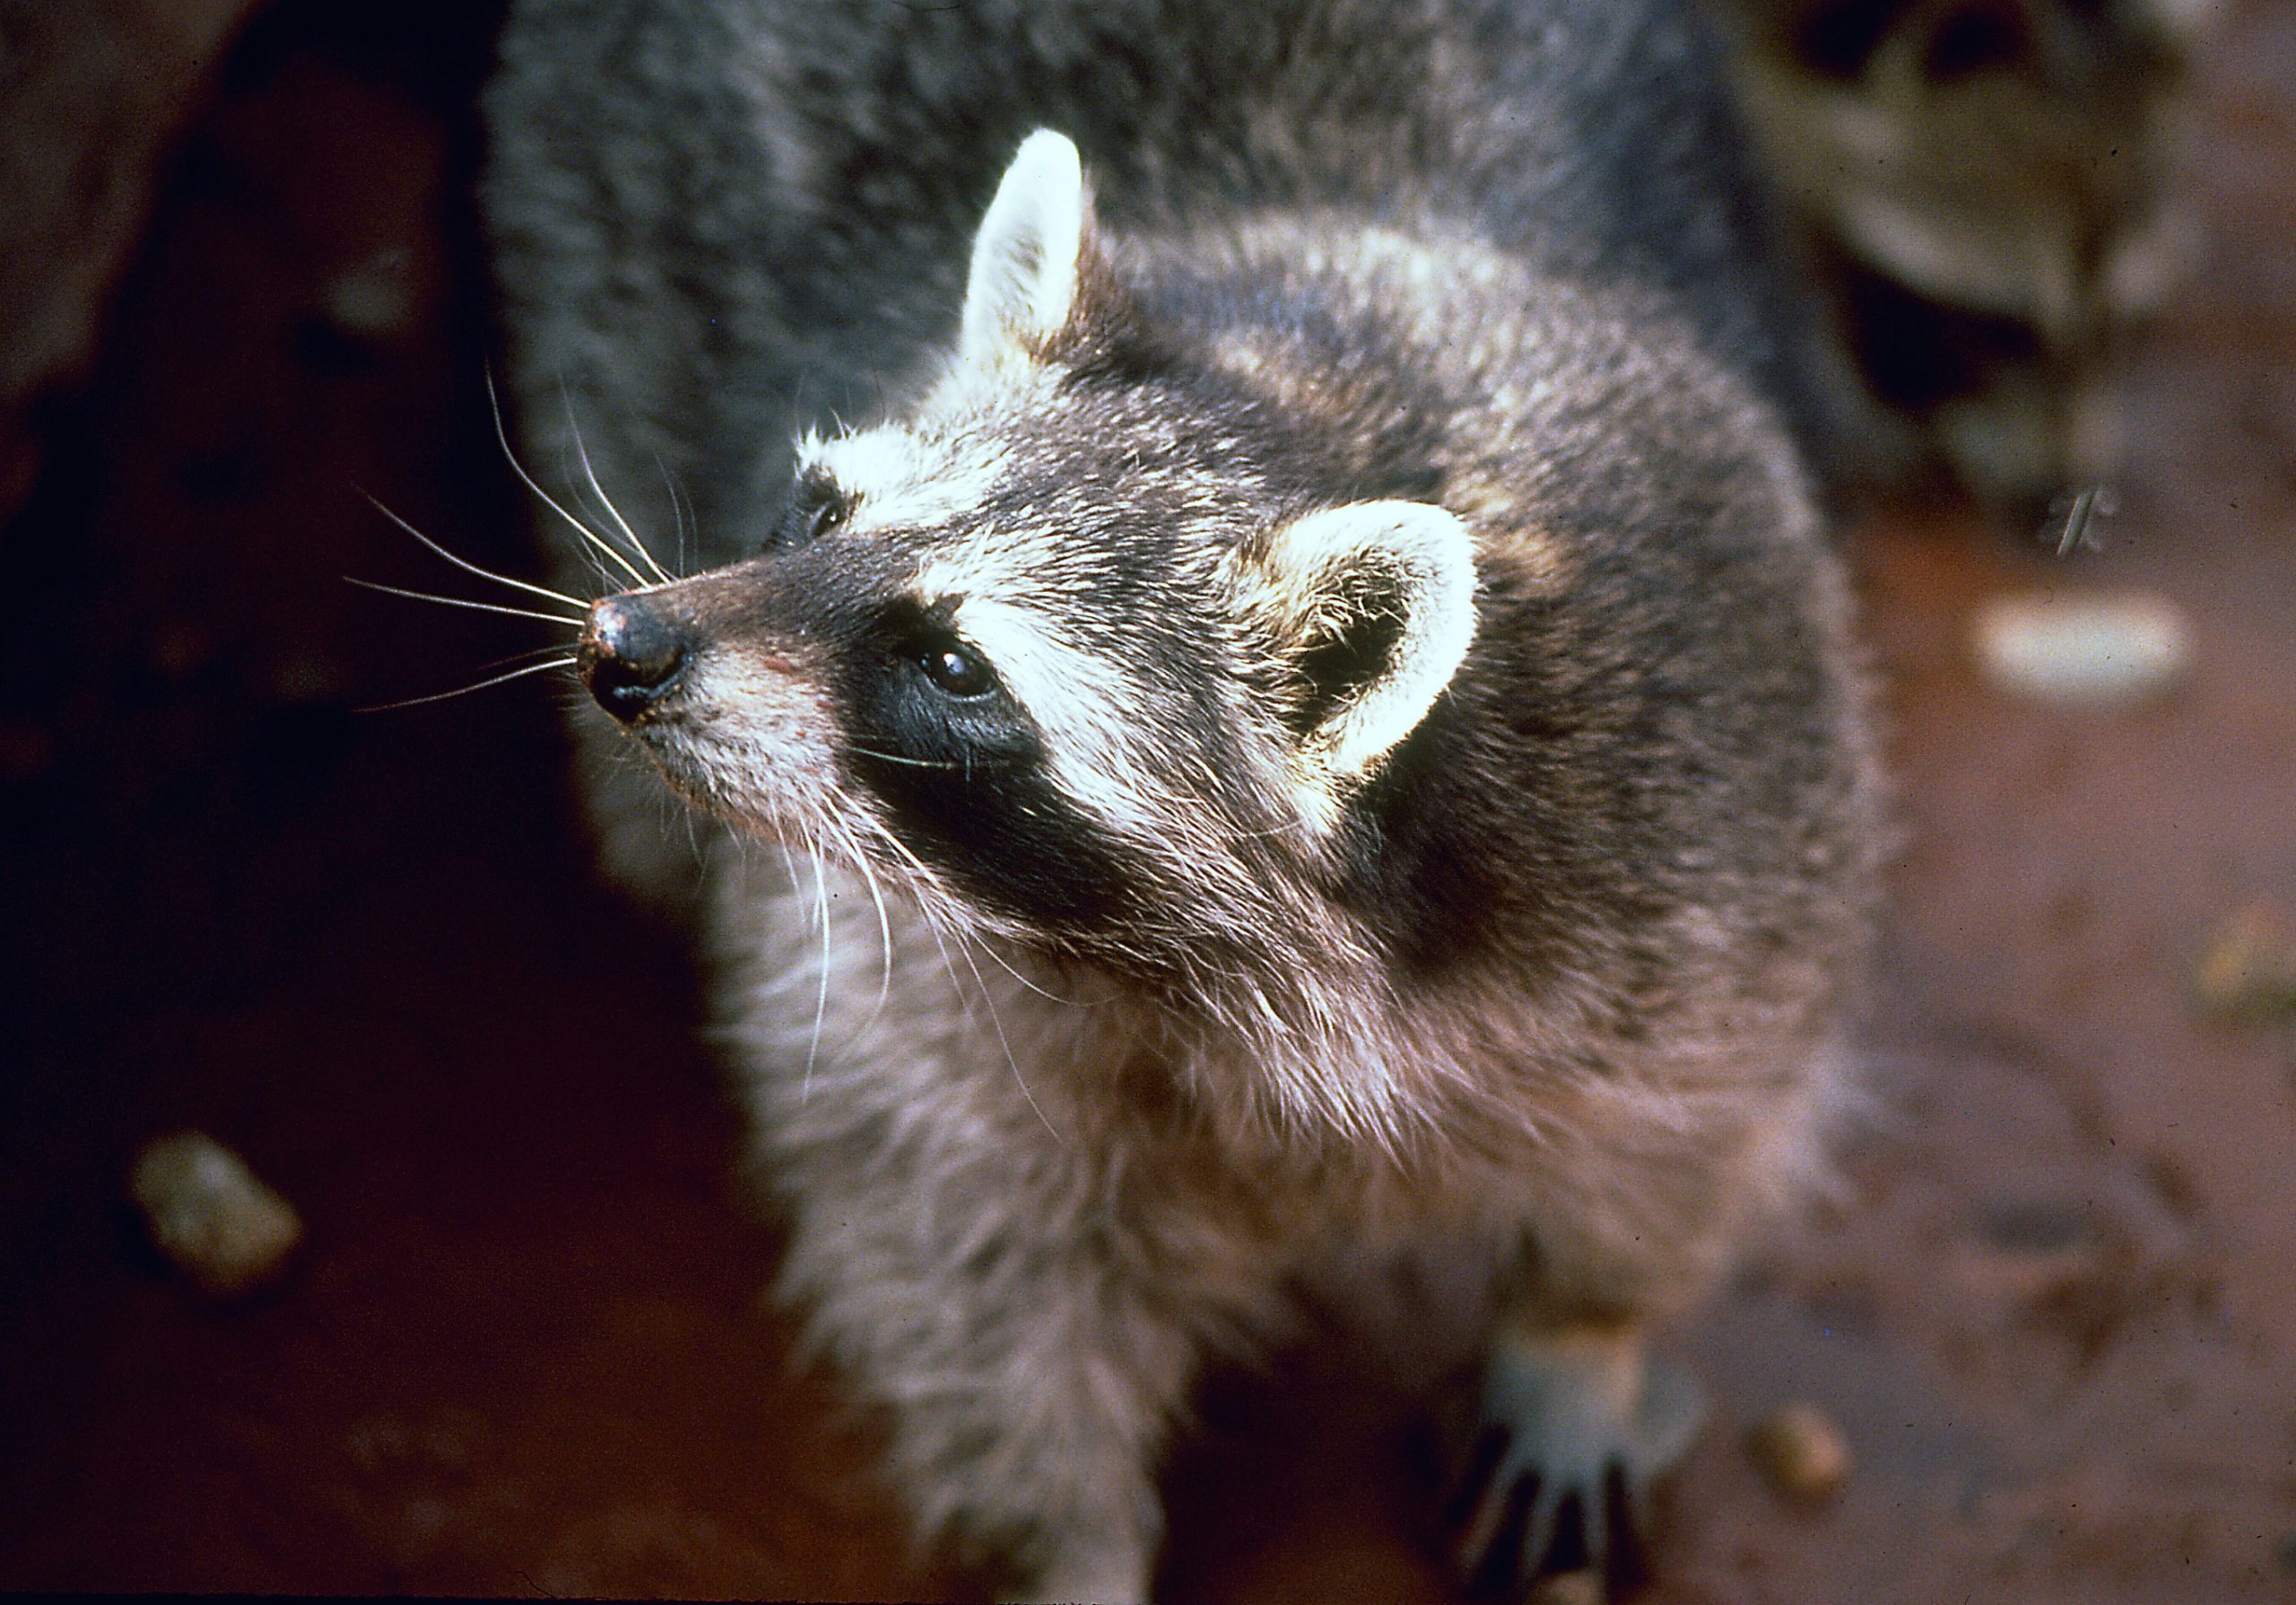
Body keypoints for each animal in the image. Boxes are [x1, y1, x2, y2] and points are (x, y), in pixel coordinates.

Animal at [484, 5, 1883, 1598]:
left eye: (953, 663)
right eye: (823, 511)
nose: (624, 645)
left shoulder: (1720, 786)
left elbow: (1698, 1124)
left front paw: (1580, 1336)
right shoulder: (903, 998)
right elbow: (978, 1283)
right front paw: (1067, 1544)